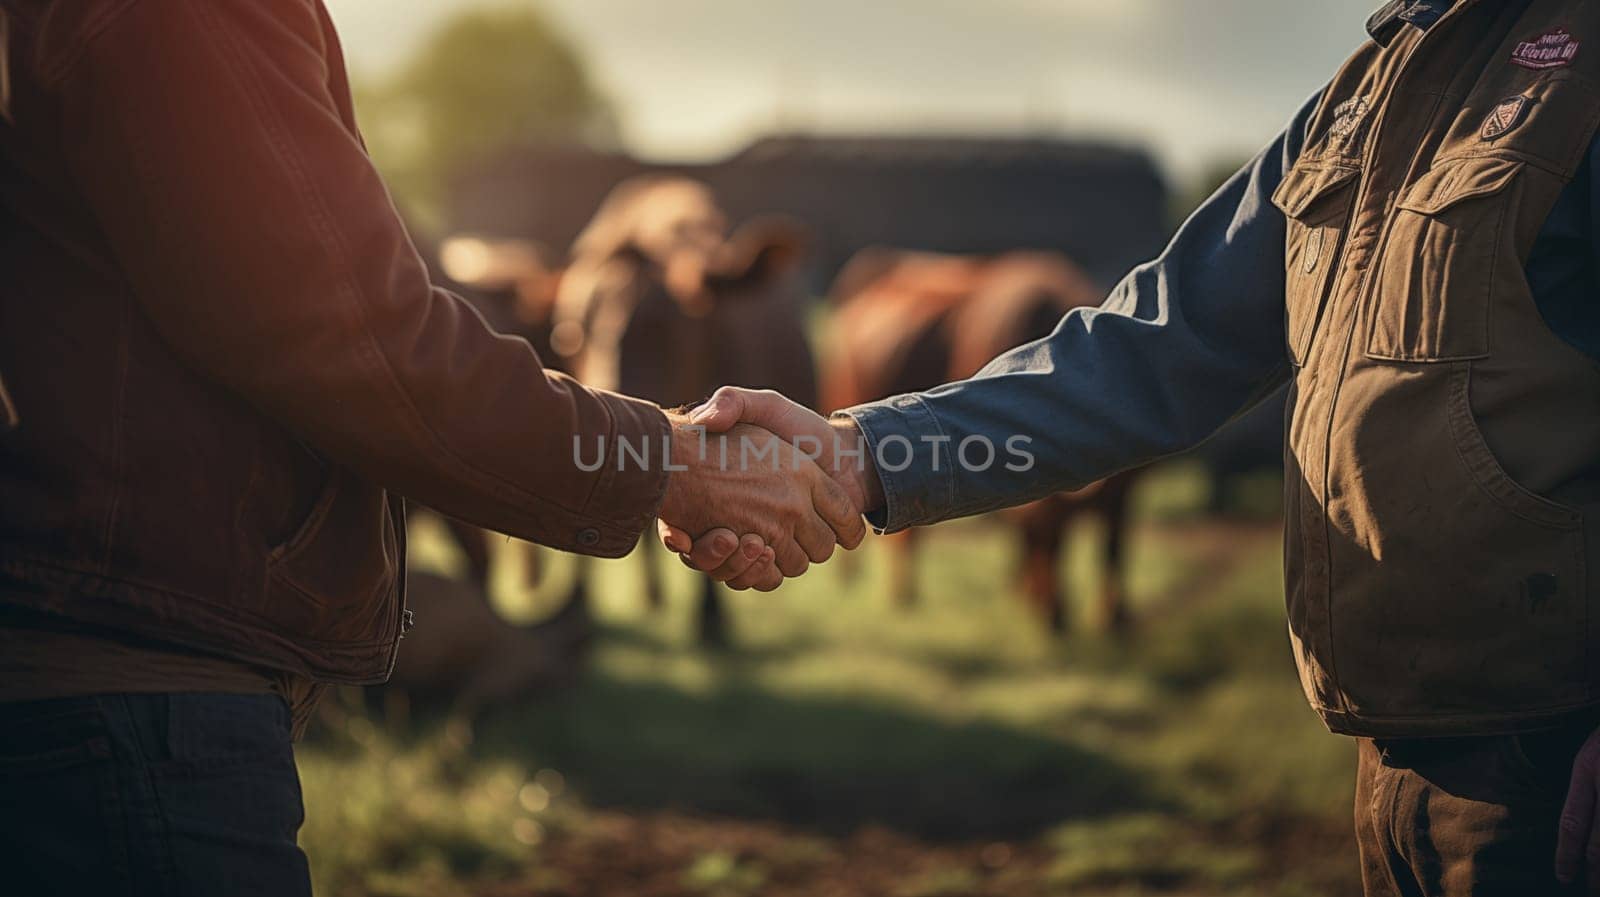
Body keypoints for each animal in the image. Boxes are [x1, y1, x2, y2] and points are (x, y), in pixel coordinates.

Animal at [825, 247, 1139, 633]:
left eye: (1056, 540)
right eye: (1036, 539)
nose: (1051, 615)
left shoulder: (1125, 485)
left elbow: (1114, 543)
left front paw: (1114, 616)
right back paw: (896, 591)